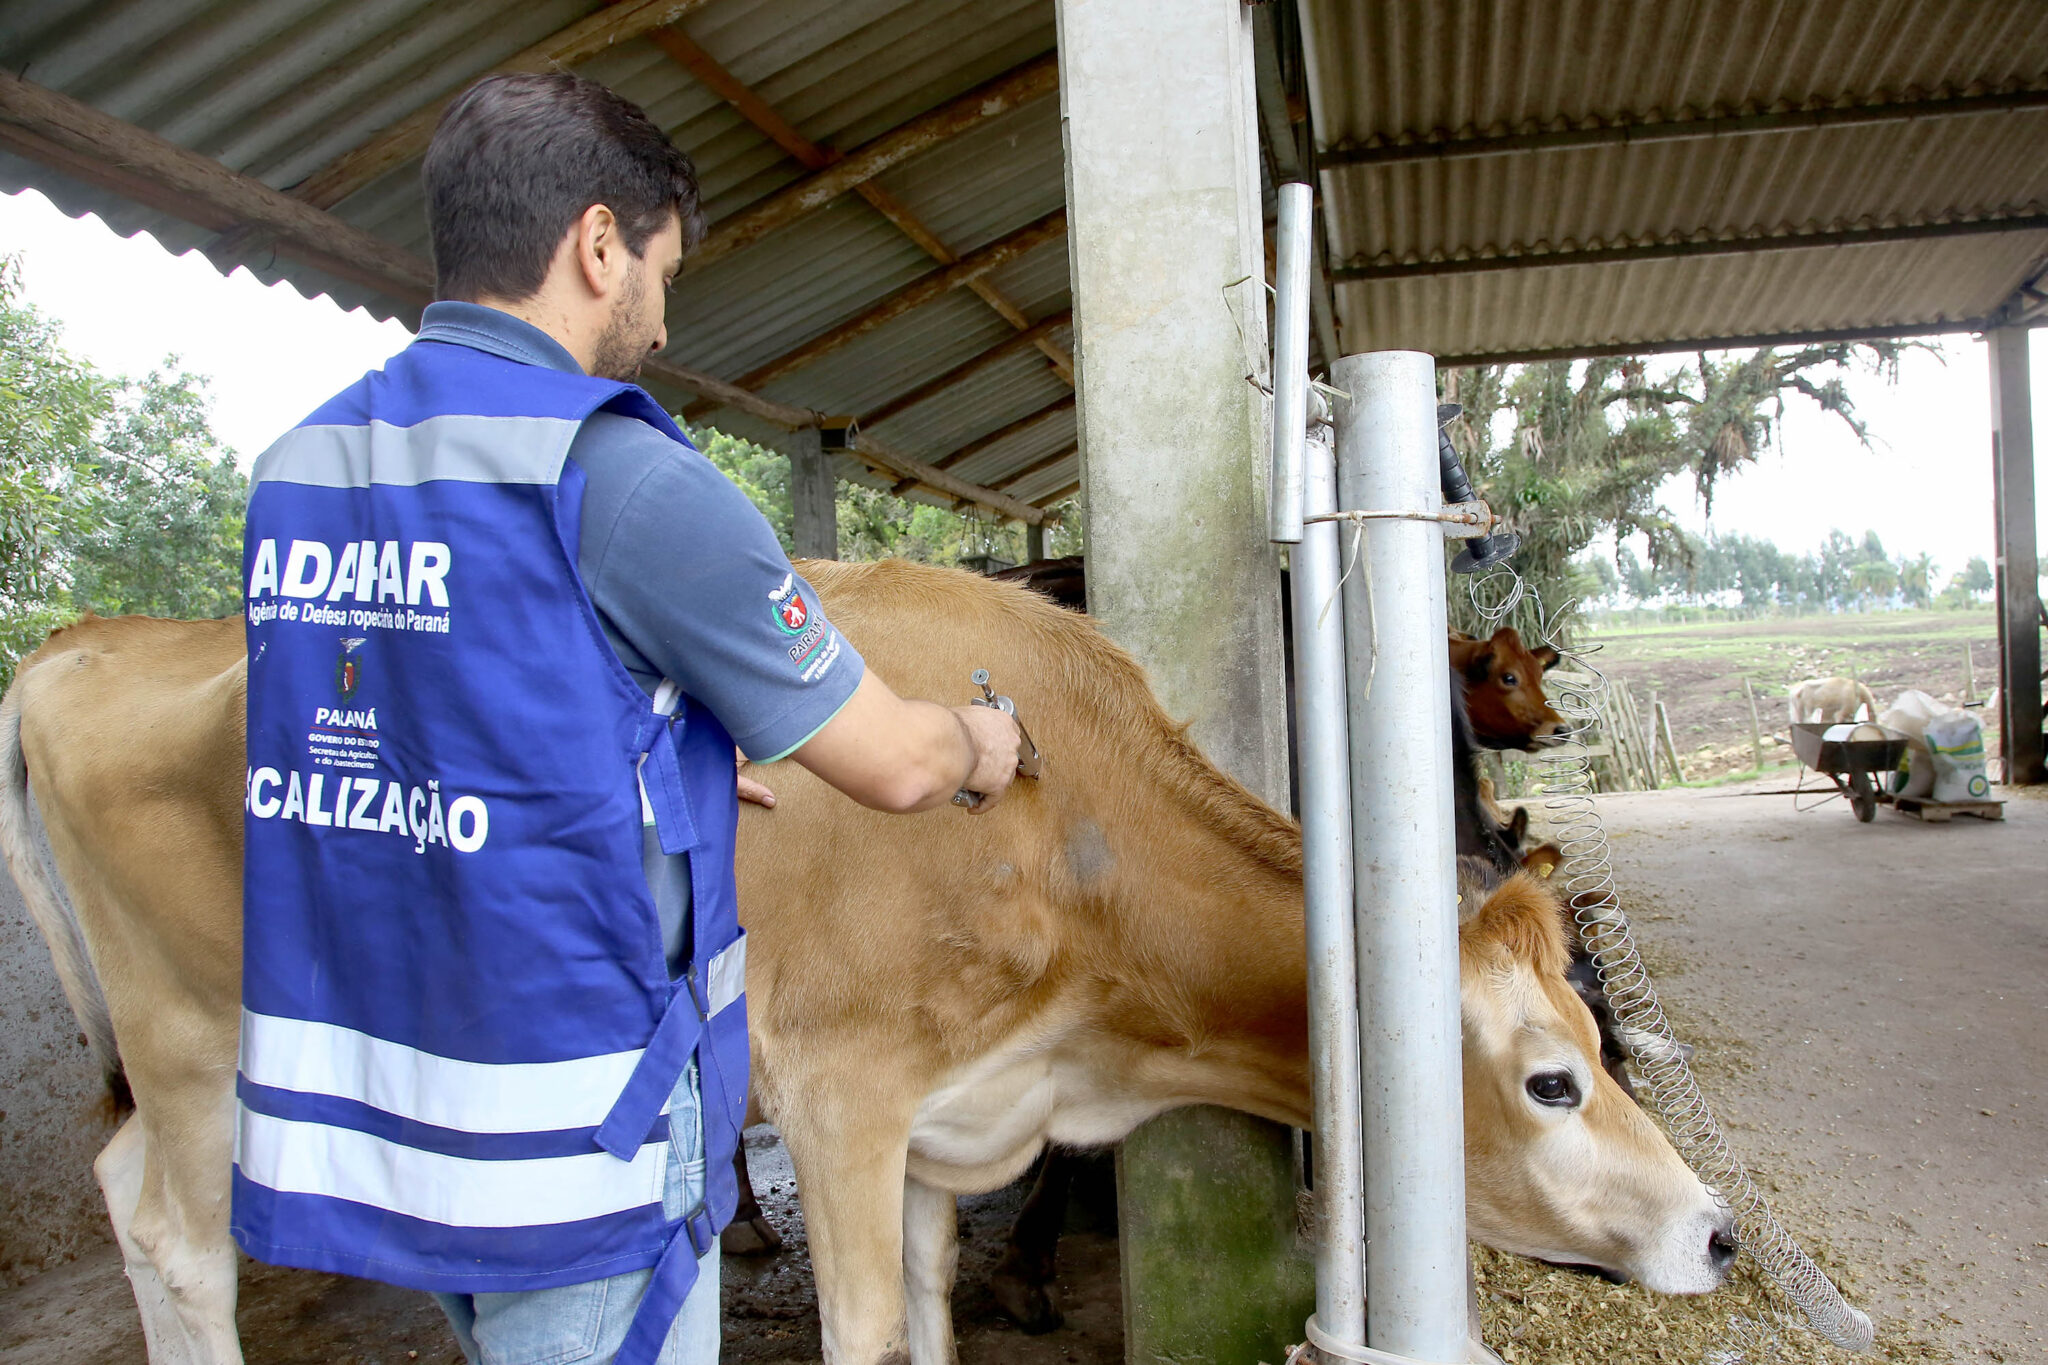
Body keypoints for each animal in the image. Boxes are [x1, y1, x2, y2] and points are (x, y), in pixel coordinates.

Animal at [4, 556, 1728, 1365]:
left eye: (1603, 1040)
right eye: (1553, 1080)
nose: (1714, 1233)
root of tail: (92, 642)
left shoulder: (940, 1118)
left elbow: (935, 1313)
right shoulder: (839, 1097)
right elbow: (868, 1330)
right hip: (190, 1041)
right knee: (172, 1233)